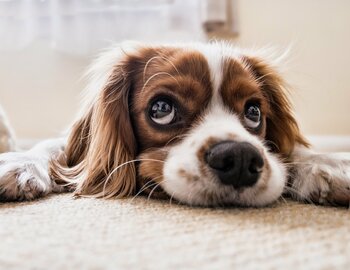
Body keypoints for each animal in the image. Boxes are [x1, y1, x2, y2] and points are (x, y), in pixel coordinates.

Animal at [0, 41, 350, 207]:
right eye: (162, 109)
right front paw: (20, 163)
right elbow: (52, 146)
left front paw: (328, 163)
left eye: (254, 112)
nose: (239, 158)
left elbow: (294, 151)